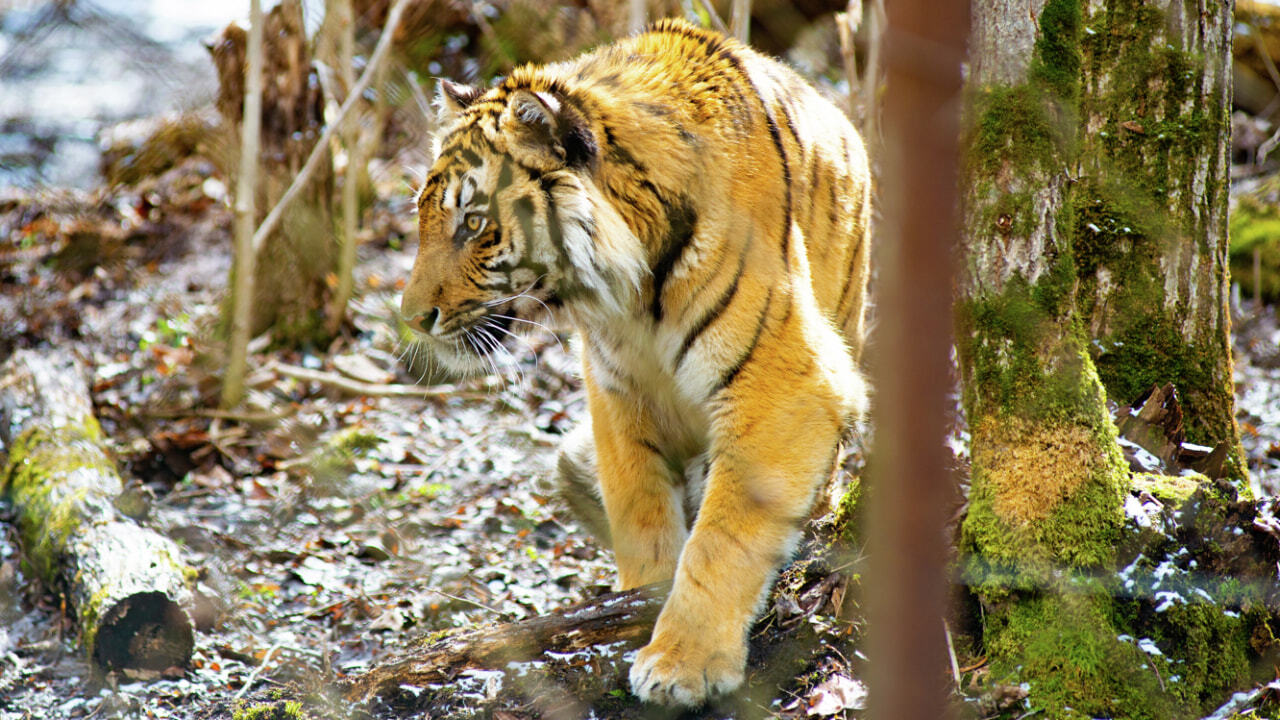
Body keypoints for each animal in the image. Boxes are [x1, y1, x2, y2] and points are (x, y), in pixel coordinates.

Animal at [404, 18, 875, 707]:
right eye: (422, 218)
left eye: (474, 224)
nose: (411, 317)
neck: (631, 291)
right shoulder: (617, 392)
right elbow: (640, 511)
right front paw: (630, 609)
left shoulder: (785, 383)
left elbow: (724, 535)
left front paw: (684, 663)